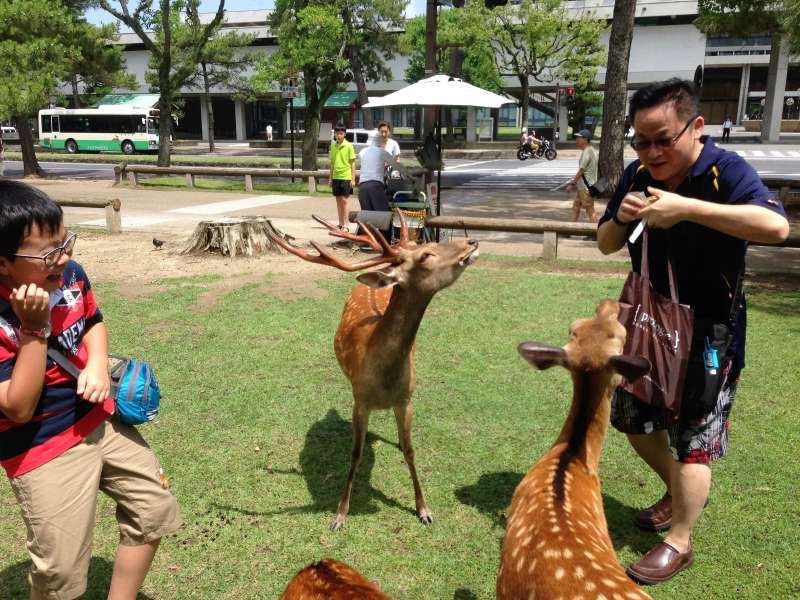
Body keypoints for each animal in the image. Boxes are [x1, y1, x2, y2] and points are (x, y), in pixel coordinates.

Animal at [270, 212, 482, 528]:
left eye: (426, 245)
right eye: (425, 255)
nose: (472, 241)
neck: (384, 380)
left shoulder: (406, 399)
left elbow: (410, 451)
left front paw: (424, 509)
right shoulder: (360, 401)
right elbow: (356, 454)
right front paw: (340, 513)